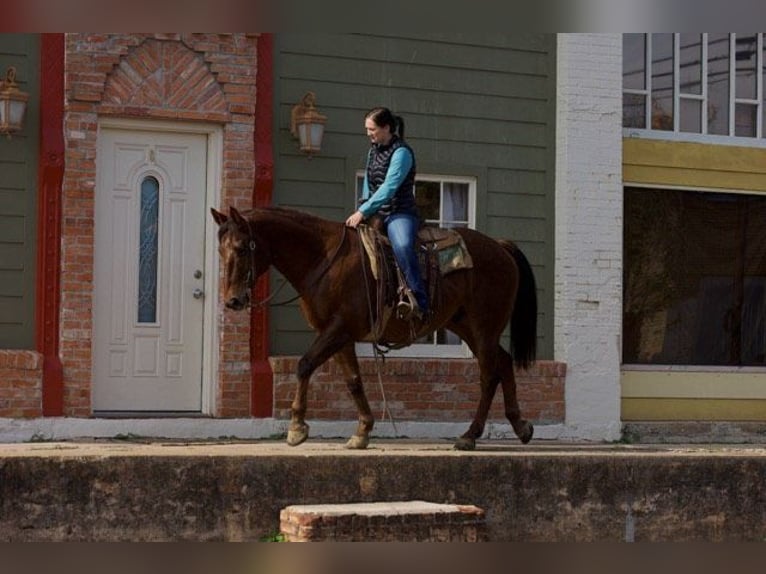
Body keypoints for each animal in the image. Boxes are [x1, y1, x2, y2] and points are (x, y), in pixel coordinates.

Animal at [210, 205, 540, 452]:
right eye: (221, 251)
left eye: (242, 248)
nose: (233, 300)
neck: (324, 258)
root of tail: (500, 247)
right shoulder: (339, 335)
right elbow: (353, 380)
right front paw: (362, 431)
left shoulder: (338, 329)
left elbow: (304, 365)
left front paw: (297, 428)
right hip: (466, 326)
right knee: (504, 362)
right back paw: (521, 426)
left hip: (483, 327)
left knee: (488, 375)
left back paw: (470, 435)